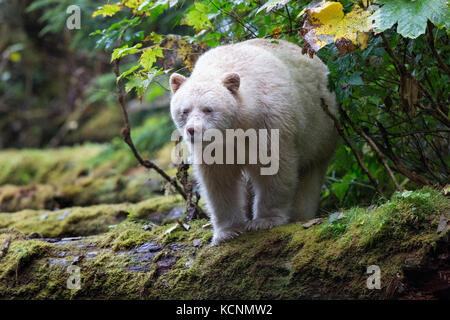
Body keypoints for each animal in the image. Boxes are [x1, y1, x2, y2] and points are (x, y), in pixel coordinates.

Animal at [169, 39, 338, 245]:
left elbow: (274, 170)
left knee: (311, 173)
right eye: (184, 111)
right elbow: (219, 181)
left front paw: (265, 221)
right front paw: (227, 231)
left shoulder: (270, 123)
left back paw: (300, 214)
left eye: (208, 109)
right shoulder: (214, 147)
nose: (192, 130)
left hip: (320, 129)